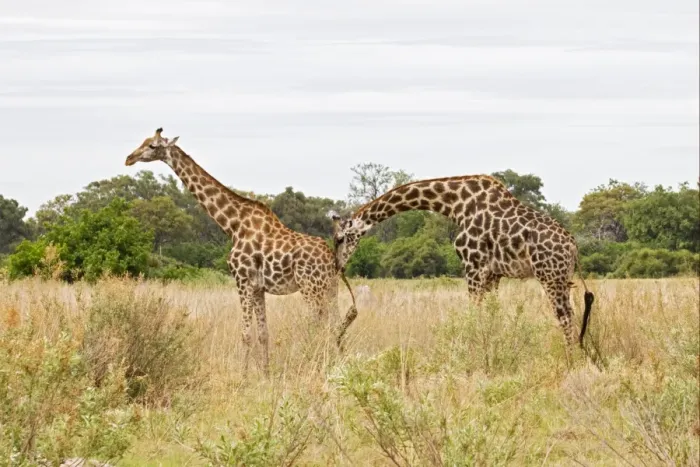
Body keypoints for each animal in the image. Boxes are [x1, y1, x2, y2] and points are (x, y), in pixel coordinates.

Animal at [124, 128, 358, 376]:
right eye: (144, 141)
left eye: (152, 145)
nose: (129, 158)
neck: (232, 225)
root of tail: (331, 259)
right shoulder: (258, 287)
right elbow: (263, 333)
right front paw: (265, 374)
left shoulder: (242, 280)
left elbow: (246, 334)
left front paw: (243, 376)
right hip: (330, 288)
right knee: (336, 326)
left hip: (310, 287)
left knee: (319, 328)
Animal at [329, 174, 595, 355]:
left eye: (340, 238)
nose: (338, 266)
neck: (454, 204)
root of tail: (573, 246)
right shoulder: (493, 273)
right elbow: (490, 314)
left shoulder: (473, 264)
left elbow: (473, 313)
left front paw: (472, 355)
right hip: (562, 278)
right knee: (572, 313)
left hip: (549, 276)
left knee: (565, 316)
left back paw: (570, 359)